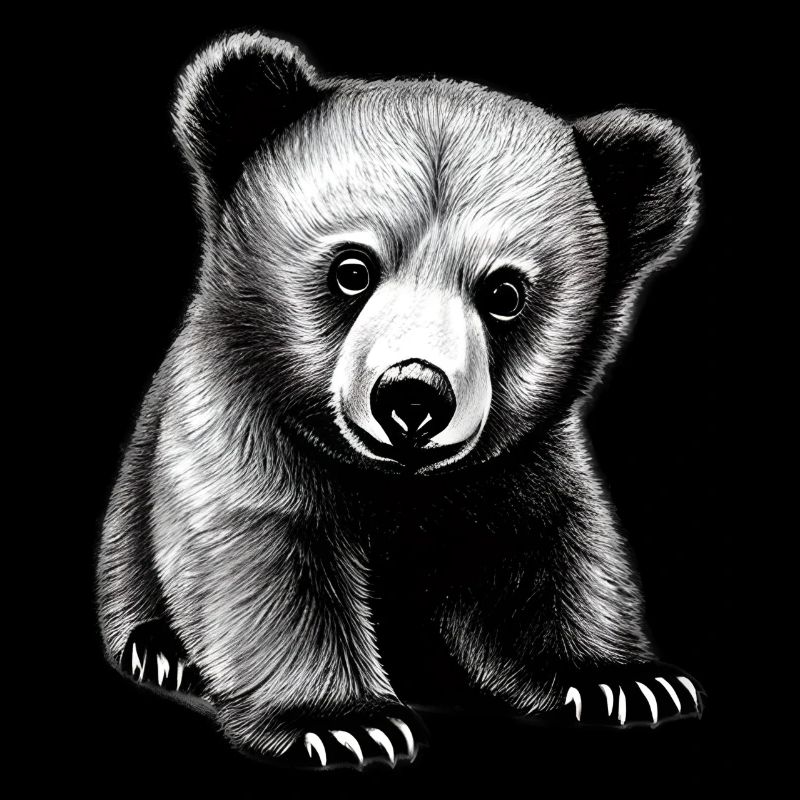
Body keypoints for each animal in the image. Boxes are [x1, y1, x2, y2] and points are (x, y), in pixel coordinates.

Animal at [96, 31, 704, 770]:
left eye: (504, 293)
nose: (413, 396)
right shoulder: (243, 424)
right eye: (352, 270)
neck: (399, 485)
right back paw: (160, 650)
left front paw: (624, 679)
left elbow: (548, 553)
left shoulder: (518, 469)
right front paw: (343, 723)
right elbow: (267, 556)